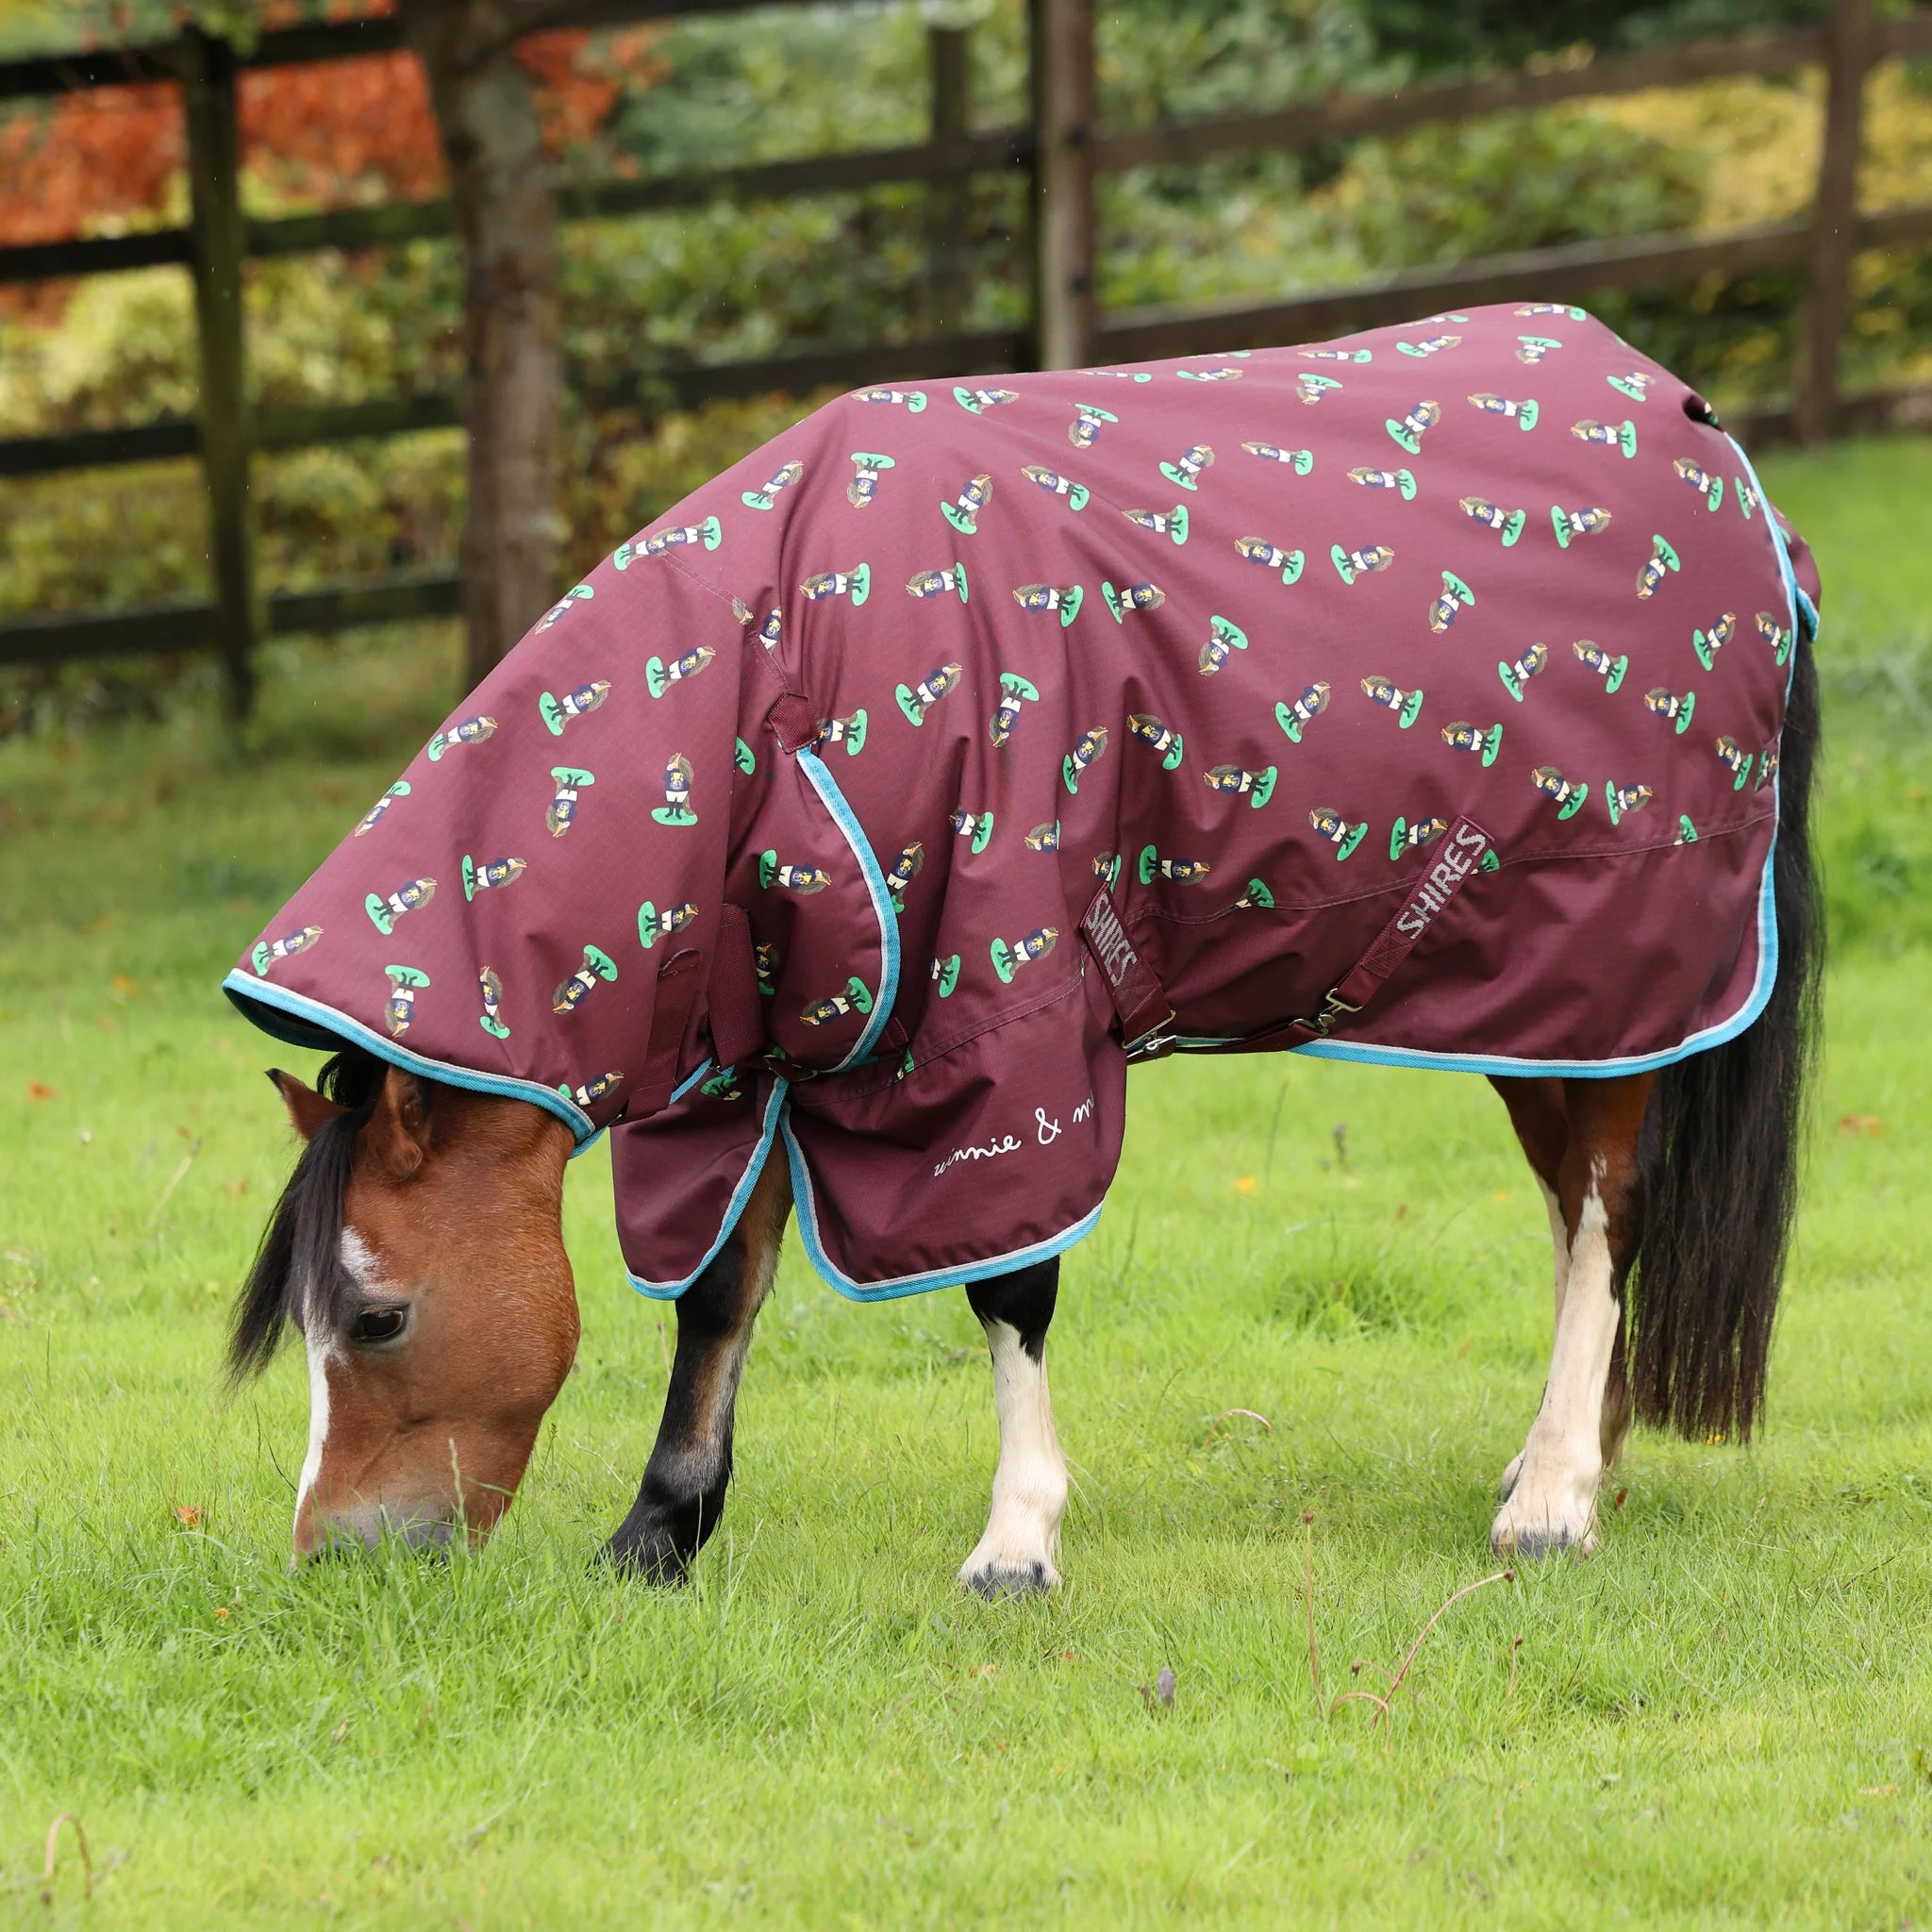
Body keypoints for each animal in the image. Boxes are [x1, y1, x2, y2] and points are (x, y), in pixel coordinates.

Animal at [224, 304, 1820, 1584]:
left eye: (376, 1320)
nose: (335, 1557)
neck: (780, 678)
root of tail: (1703, 438)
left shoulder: (997, 1038)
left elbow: (1008, 1289)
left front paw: (1016, 1540)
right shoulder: (752, 1053)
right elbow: (721, 1289)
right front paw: (659, 1533)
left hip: (1620, 954)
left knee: (1609, 1206)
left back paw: (1550, 1501)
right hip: (1533, 996)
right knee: (1575, 1208)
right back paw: (1578, 1458)